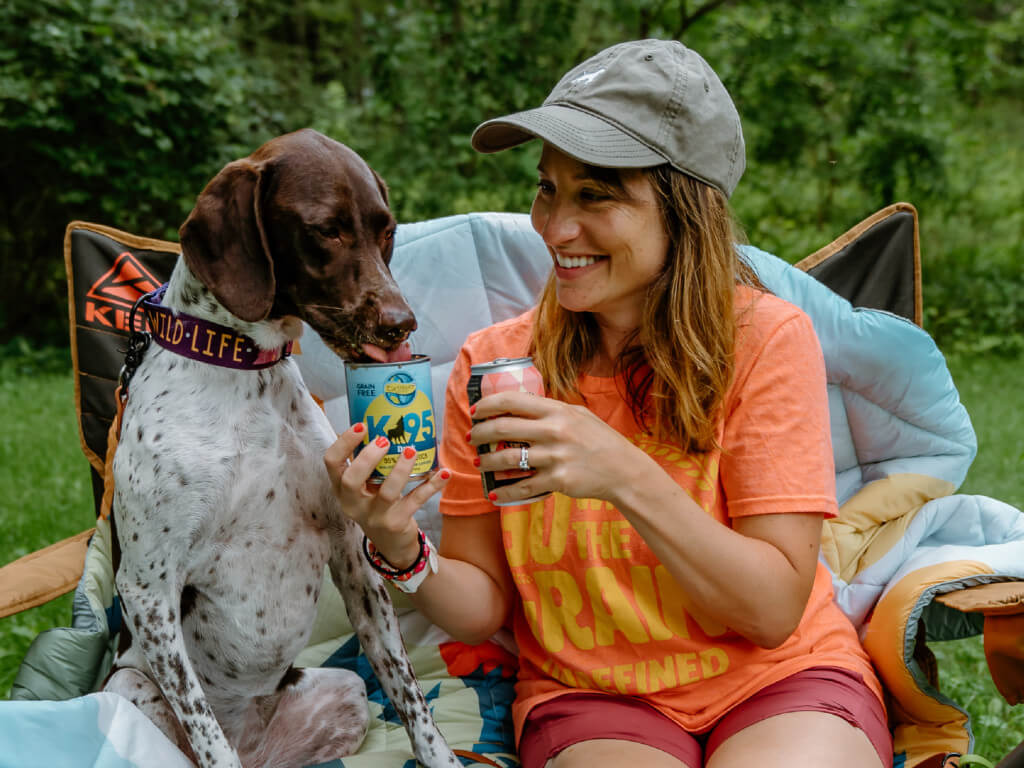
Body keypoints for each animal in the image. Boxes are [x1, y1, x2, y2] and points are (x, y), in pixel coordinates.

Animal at [104, 129, 460, 765]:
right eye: (326, 229)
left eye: (386, 230)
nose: (402, 323)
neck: (249, 372)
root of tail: (255, 746)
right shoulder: (147, 590)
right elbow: (206, 735)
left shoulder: (353, 558)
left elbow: (413, 703)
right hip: (128, 690)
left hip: (345, 693)